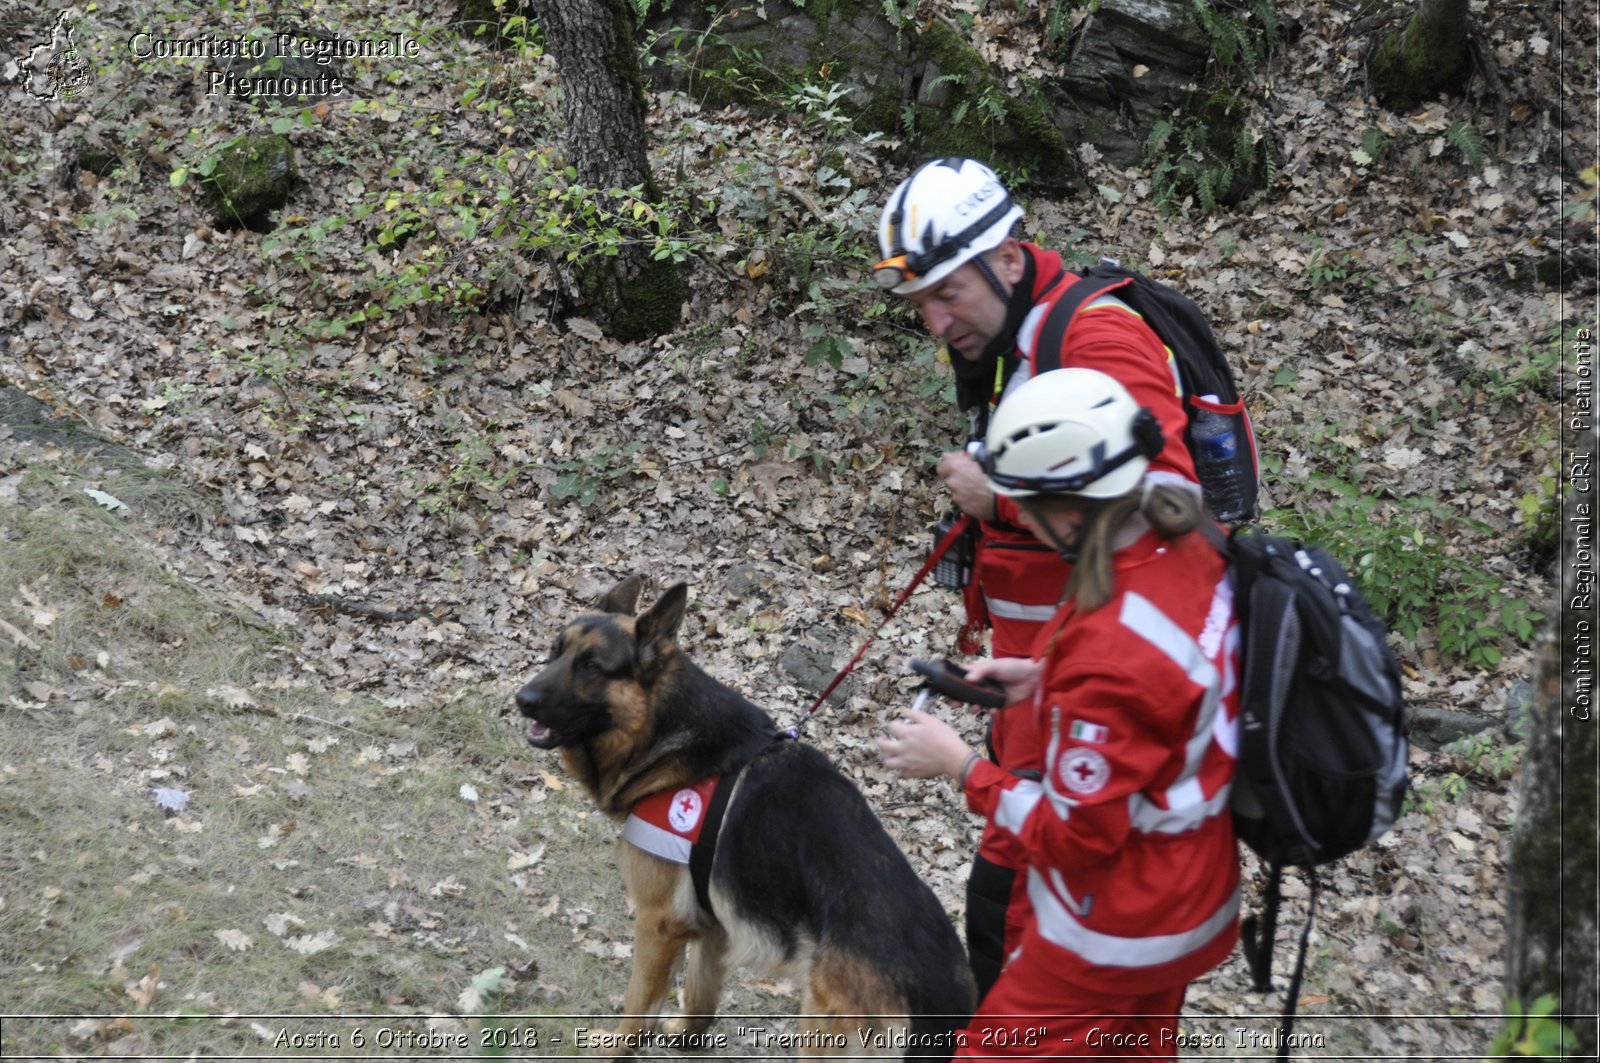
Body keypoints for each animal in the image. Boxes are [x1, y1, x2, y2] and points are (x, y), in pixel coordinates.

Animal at [518, 576, 979, 1056]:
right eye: (555, 651)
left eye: (591, 666)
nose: (522, 699)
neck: (663, 729)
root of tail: (940, 996)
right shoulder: (712, 925)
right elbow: (699, 999)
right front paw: (685, 1039)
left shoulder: (657, 925)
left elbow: (636, 1011)